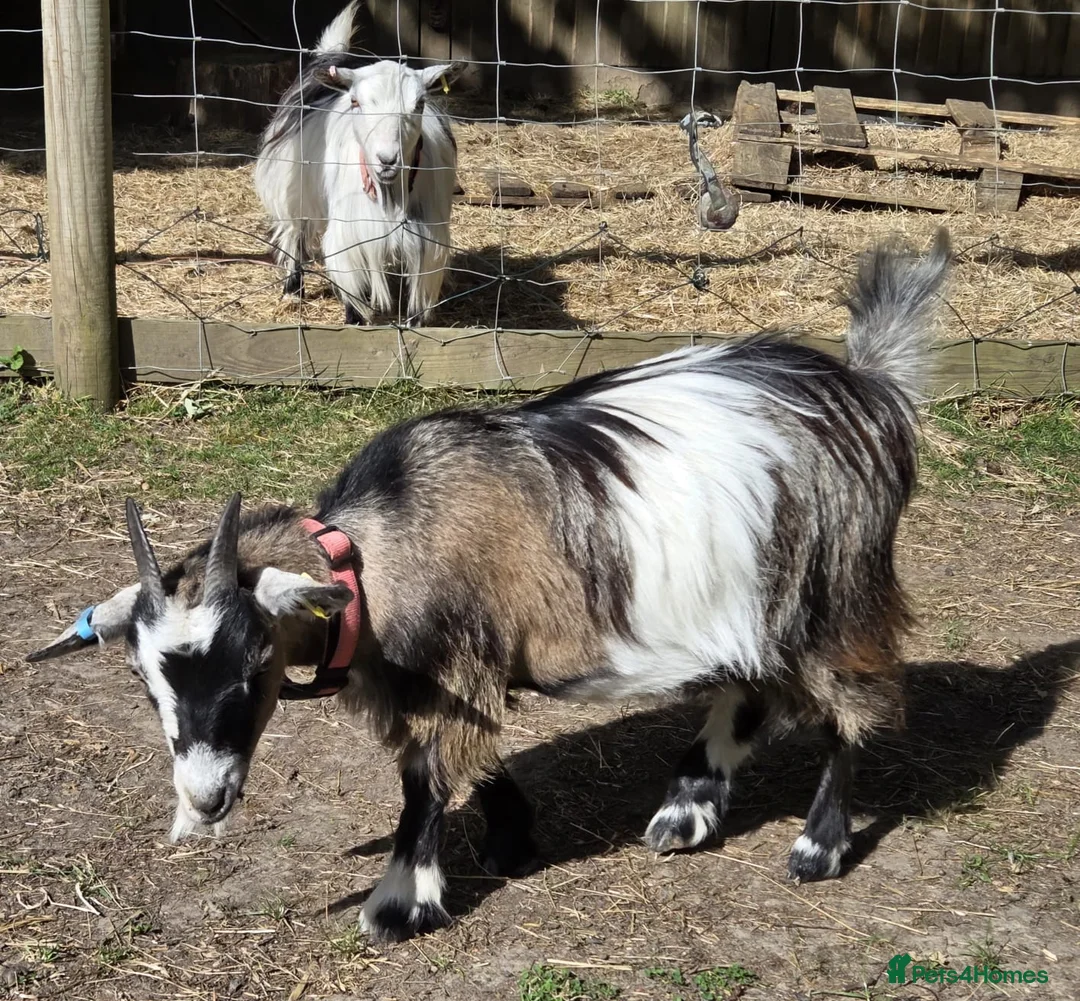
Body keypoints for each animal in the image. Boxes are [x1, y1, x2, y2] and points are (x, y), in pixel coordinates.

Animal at [29, 231, 951, 943]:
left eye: (254, 661)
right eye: (143, 680)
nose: (206, 795)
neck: (381, 549)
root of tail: (869, 389)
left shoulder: (450, 663)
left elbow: (425, 778)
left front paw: (398, 903)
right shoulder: (448, 672)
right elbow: (463, 755)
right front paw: (511, 834)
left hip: (838, 587)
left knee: (852, 706)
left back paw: (817, 845)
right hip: (759, 598)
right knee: (751, 684)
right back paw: (685, 808)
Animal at [254, 1, 464, 325]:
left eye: (419, 104)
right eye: (356, 102)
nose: (387, 160)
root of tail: (332, 57)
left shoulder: (428, 240)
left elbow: (418, 298)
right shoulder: (349, 234)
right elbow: (353, 289)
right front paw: (355, 321)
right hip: (290, 190)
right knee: (292, 234)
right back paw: (293, 288)